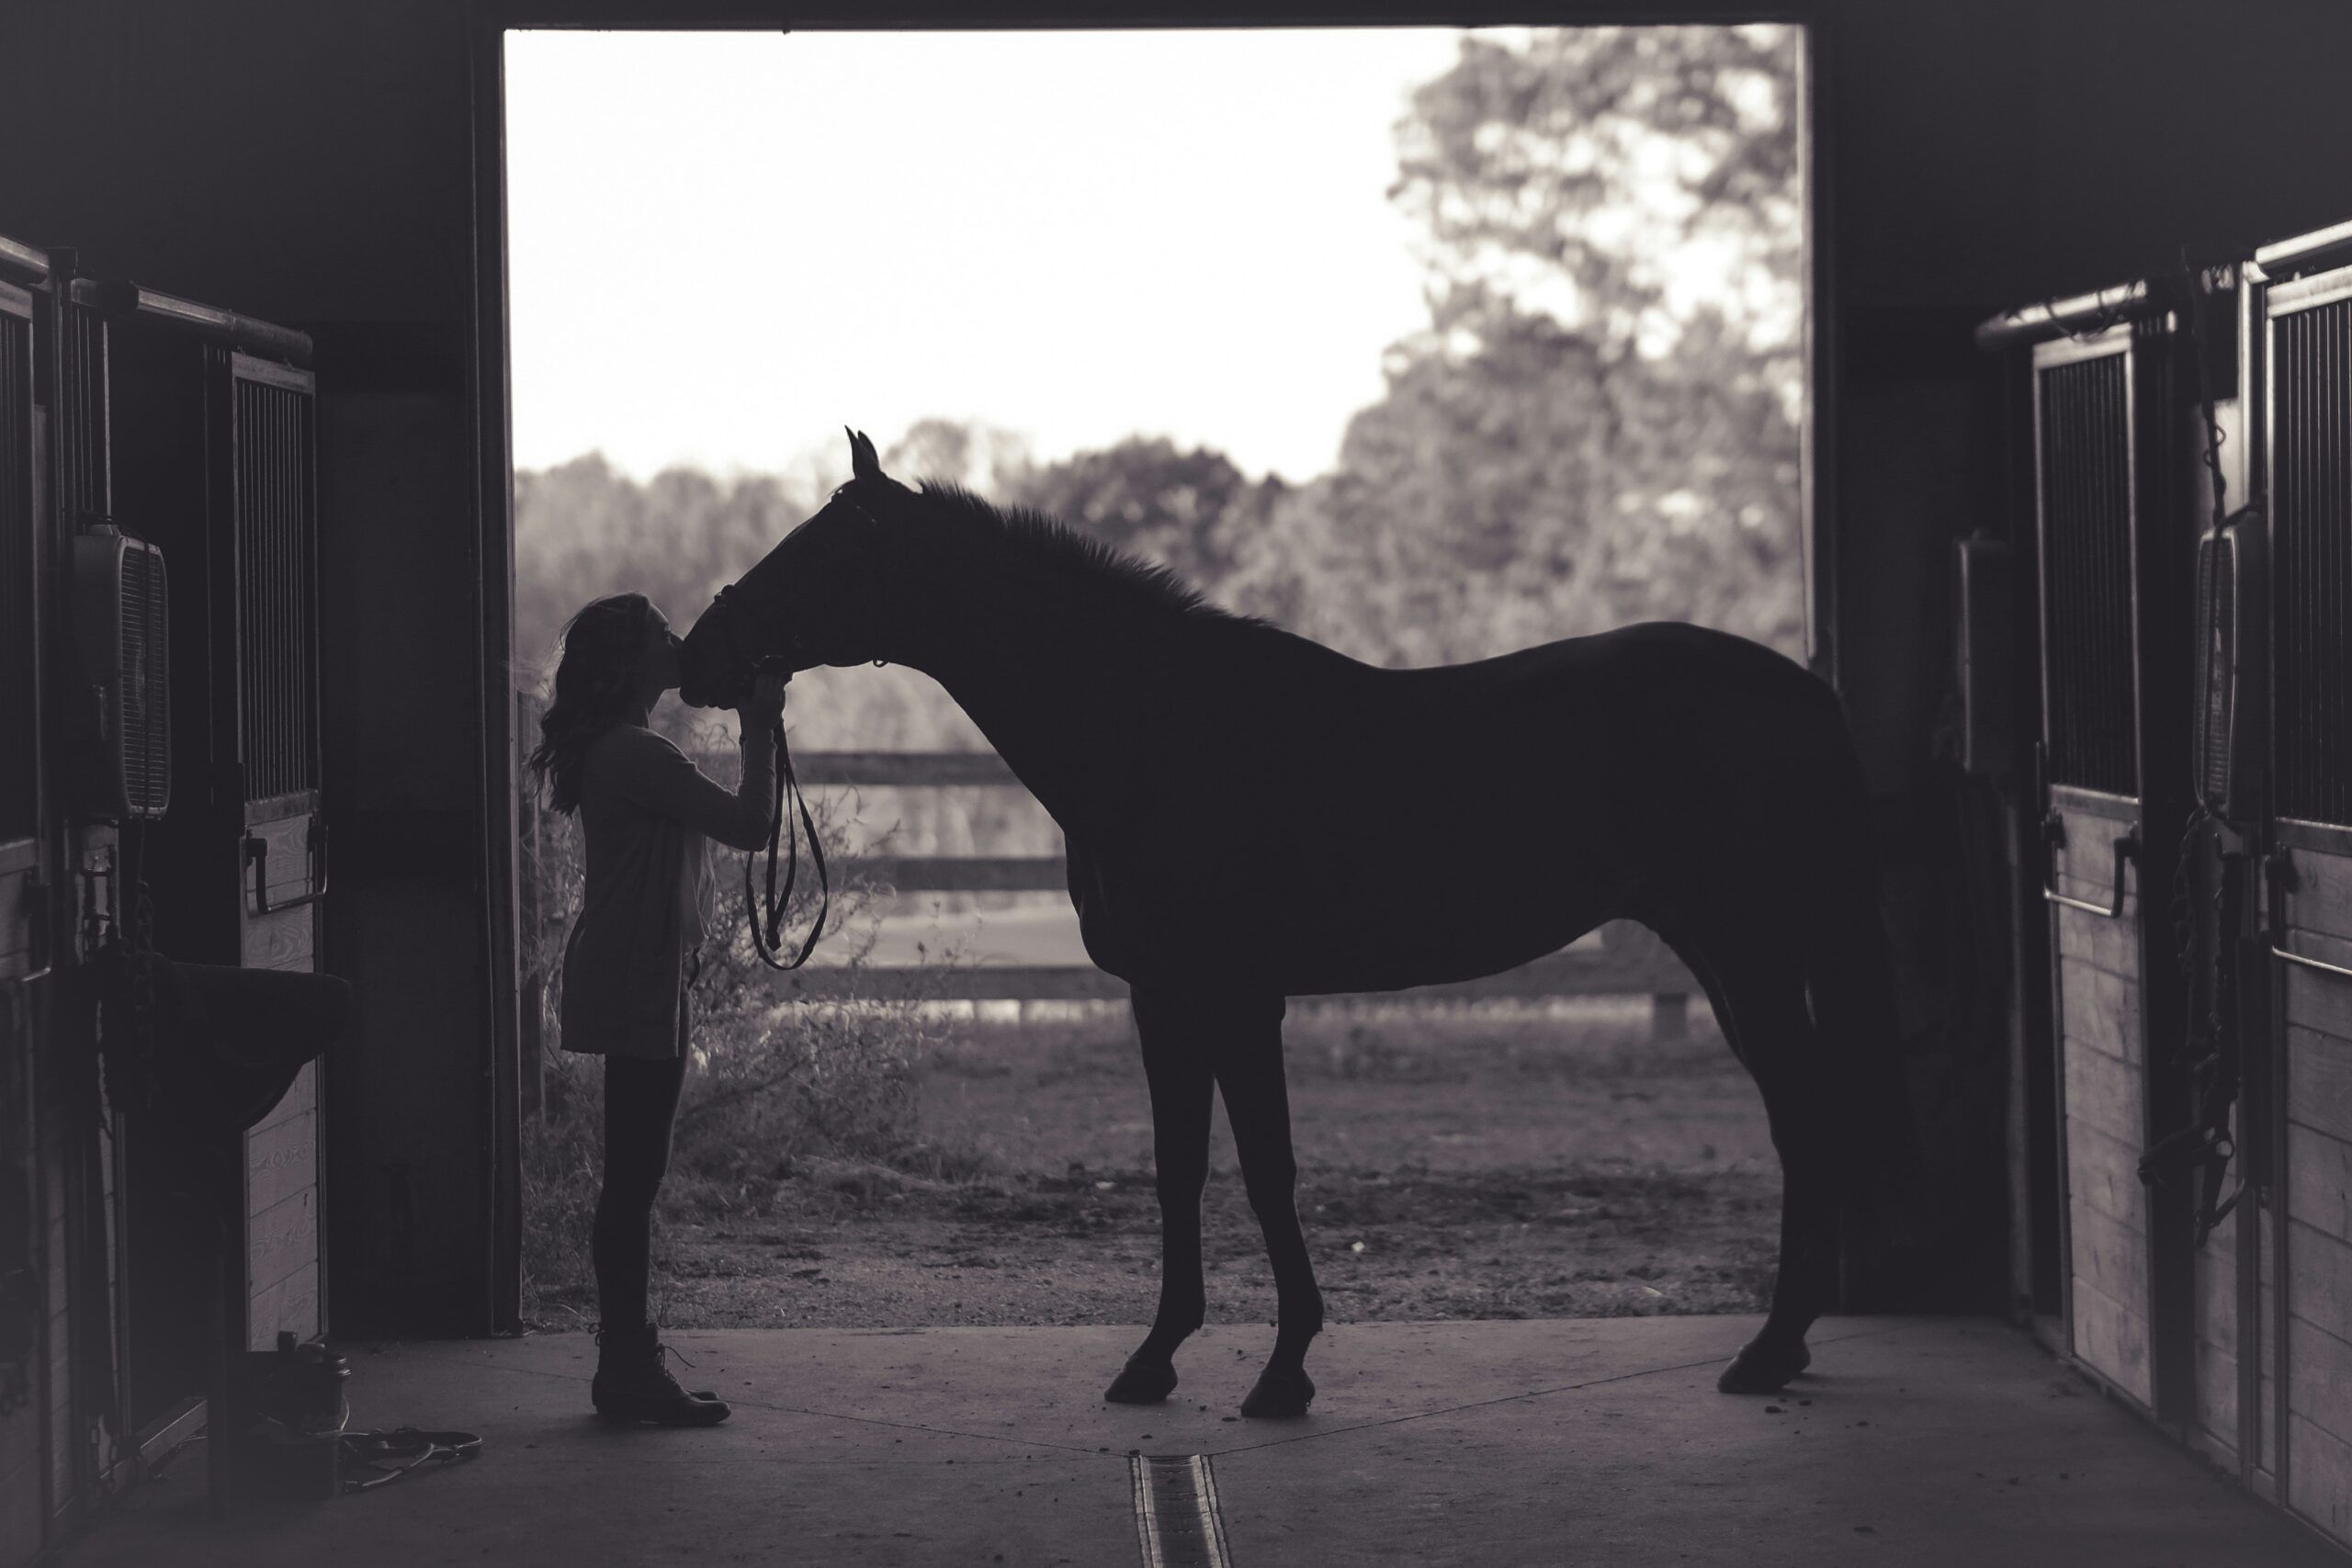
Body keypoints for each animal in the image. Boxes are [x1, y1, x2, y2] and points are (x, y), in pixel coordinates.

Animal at [682, 430, 1909, 1419]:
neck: (1155, 730)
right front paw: (1154, 1361)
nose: (698, 655)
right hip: (1727, 955)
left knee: (1806, 1121)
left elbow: (1267, 1171)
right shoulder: (1162, 997)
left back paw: (1767, 1352)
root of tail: (1801, 690)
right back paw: (1782, 1348)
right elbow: (1180, 1170)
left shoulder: (1238, 996)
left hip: (1750, 954)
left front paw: (1282, 1373)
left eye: (824, 551)